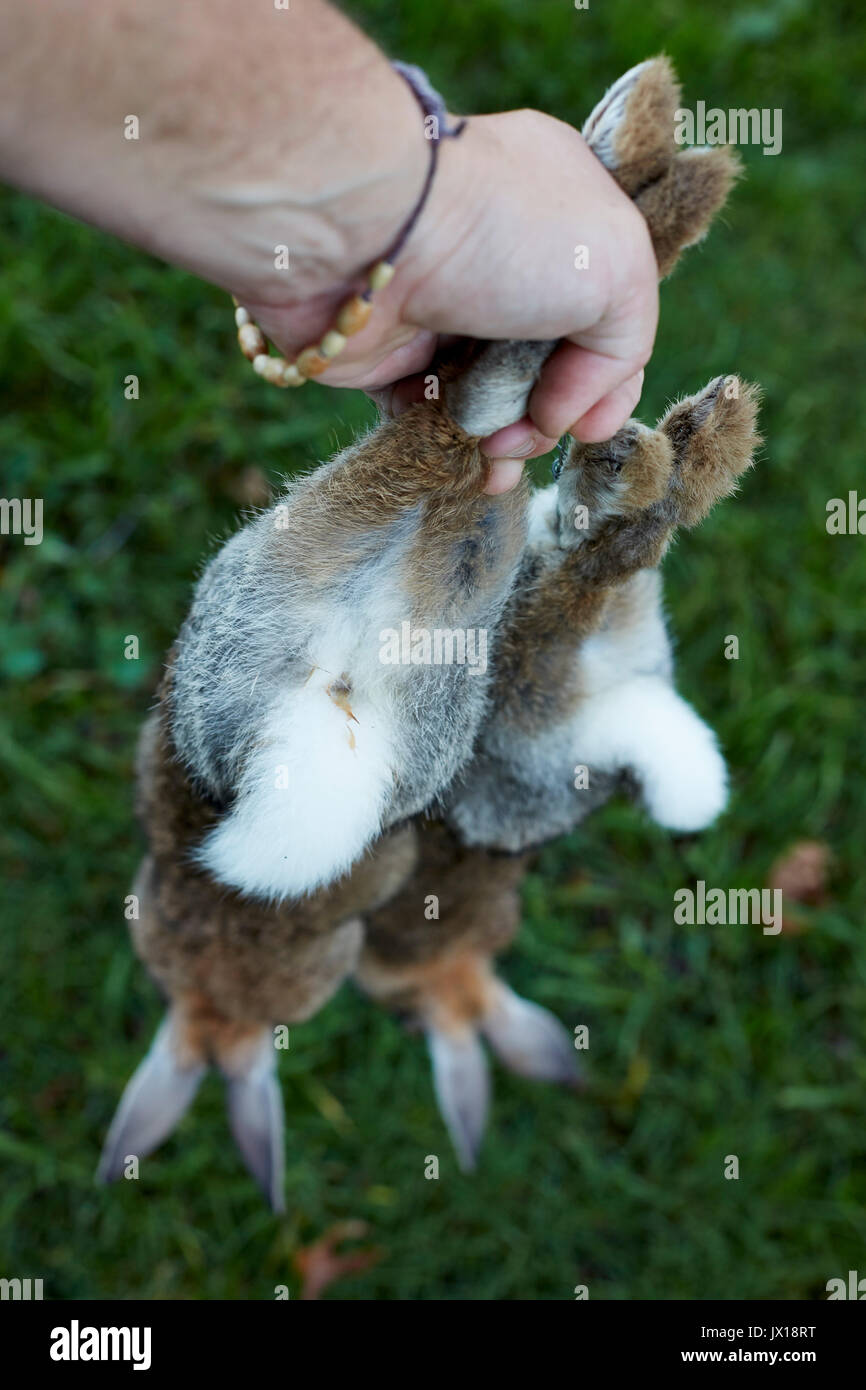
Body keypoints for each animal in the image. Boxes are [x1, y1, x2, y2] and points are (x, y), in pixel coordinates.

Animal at [96, 56, 756, 1206]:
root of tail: (328, 705)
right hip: (482, 649)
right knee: (555, 497)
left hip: (336, 562)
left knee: (460, 427)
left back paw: (644, 167)